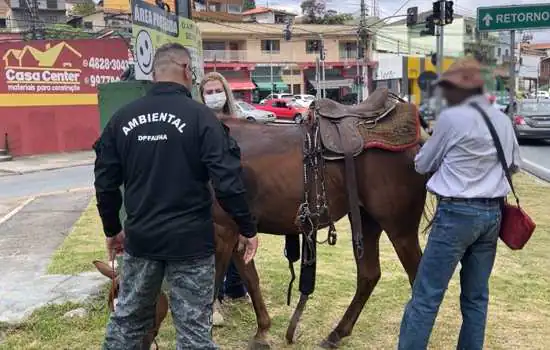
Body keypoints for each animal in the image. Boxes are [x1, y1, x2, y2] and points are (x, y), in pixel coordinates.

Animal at [212, 101, 432, 348]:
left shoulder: (222, 230)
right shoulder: (238, 232)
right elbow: (250, 279)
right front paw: (262, 331)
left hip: (399, 229)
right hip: (366, 220)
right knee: (369, 275)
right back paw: (337, 333)